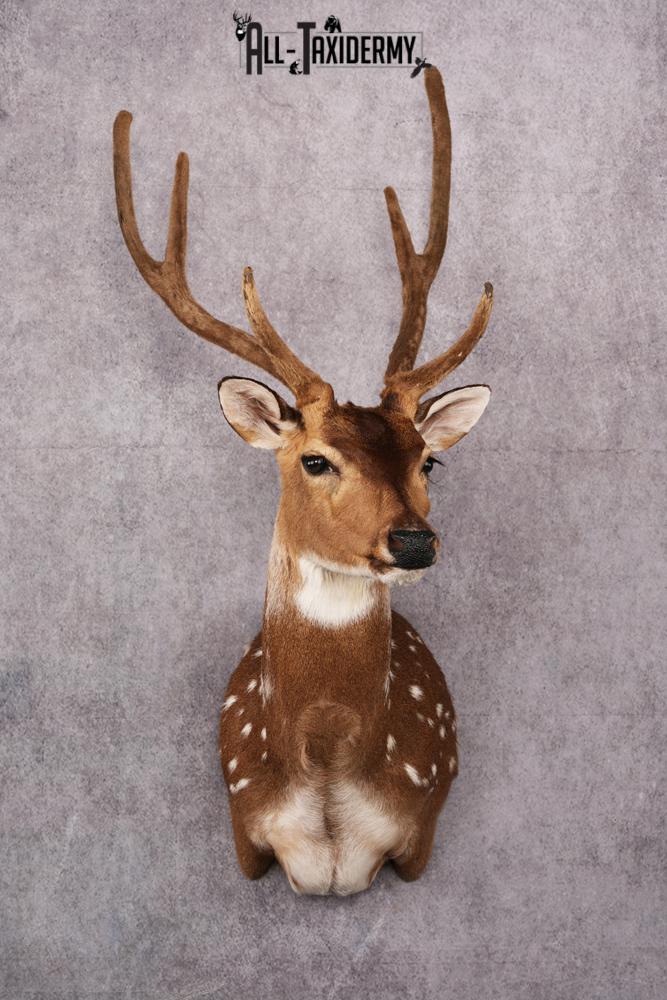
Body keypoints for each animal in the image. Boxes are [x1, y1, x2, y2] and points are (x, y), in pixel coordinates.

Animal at [112, 66, 494, 896]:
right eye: (315, 458)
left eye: (428, 459)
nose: (413, 542)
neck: (324, 774)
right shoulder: (243, 830)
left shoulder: (420, 829)